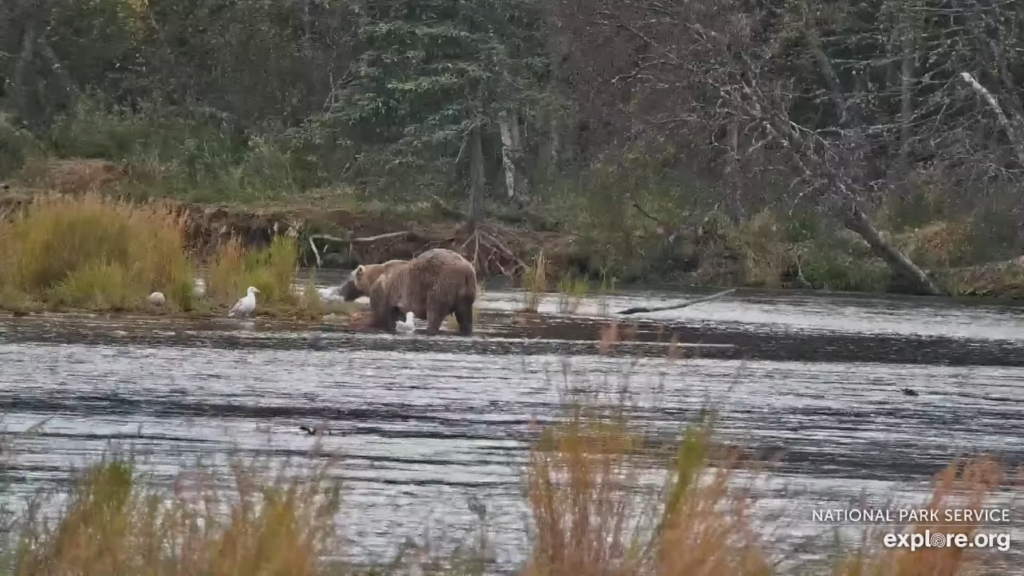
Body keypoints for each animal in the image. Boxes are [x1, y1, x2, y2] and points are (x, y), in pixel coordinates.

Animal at [344, 249, 475, 334]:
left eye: (349, 279)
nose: (342, 290)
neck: (374, 279)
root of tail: (467, 271)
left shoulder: (385, 291)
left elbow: (381, 314)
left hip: (441, 285)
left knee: (434, 310)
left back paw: (429, 329)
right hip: (466, 293)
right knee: (464, 314)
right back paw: (466, 330)